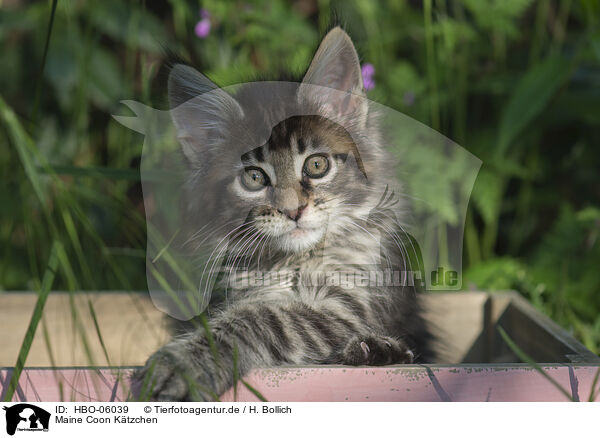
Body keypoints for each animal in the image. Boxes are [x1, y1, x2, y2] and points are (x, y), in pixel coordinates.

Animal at [136, 26, 434, 400]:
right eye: (254, 178)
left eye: (317, 165)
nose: (293, 210)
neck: (294, 261)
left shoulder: (350, 304)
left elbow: (266, 319)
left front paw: (182, 365)